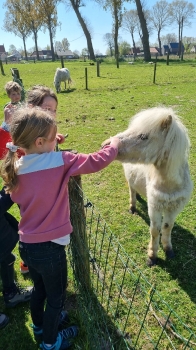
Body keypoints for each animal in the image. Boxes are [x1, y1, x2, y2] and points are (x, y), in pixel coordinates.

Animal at [102, 106, 193, 266]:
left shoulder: (175, 207)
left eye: (144, 136)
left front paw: (169, 250)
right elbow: (155, 230)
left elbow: (167, 227)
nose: (106, 144)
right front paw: (152, 256)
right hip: (130, 180)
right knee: (132, 191)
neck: (169, 184)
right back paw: (132, 207)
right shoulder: (154, 206)